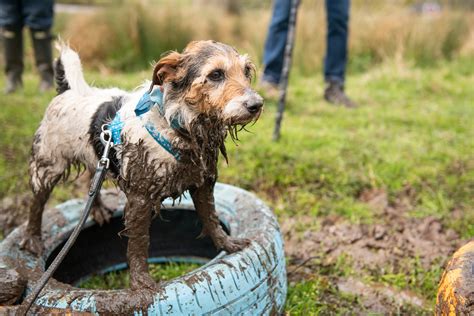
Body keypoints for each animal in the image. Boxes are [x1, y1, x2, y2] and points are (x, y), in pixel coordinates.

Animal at [21, 40, 262, 290]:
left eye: (246, 71)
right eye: (216, 74)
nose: (256, 104)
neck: (177, 127)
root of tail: (68, 91)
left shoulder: (203, 184)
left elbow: (211, 218)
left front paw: (227, 244)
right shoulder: (140, 199)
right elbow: (138, 242)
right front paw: (140, 281)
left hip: (96, 158)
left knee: (92, 181)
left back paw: (97, 208)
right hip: (48, 164)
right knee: (37, 202)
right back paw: (32, 239)